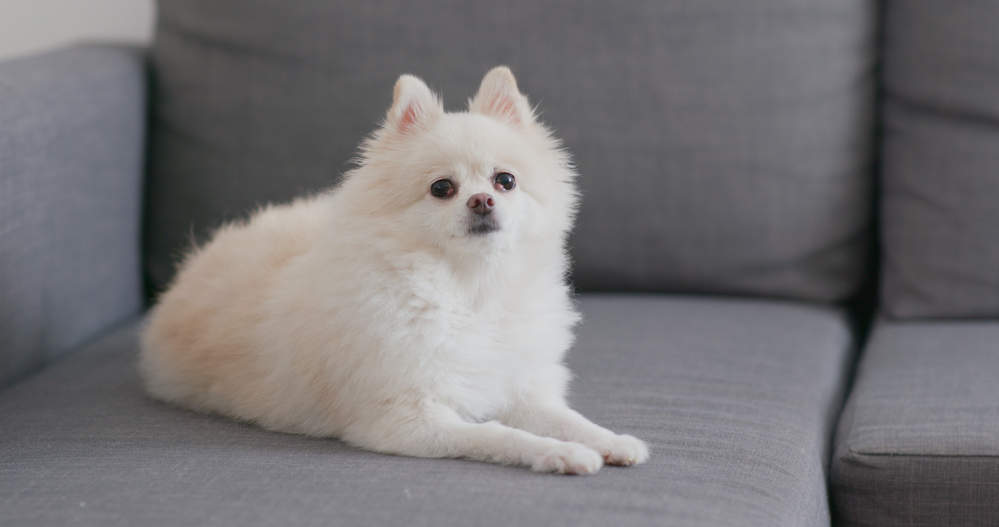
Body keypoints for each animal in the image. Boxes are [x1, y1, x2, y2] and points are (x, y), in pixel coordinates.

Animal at [143, 65, 656, 474]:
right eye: (442, 188)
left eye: (505, 181)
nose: (482, 200)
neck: (469, 289)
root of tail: (199, 260)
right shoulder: (407, 420)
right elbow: (498, 434)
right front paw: (560, 453)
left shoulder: (521, 389)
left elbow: (567, 419)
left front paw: (610, 440)